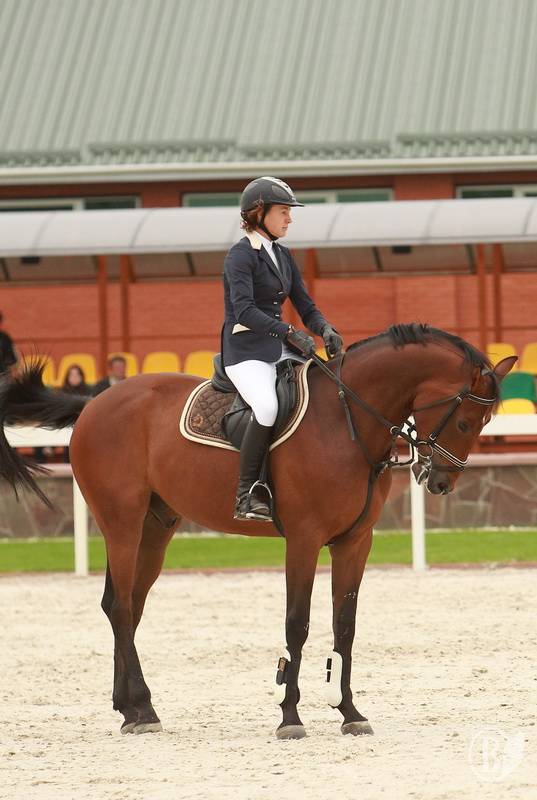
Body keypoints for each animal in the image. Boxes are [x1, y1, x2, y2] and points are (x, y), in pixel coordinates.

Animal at [0, 323, 515, 739]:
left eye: (485, 422)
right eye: (465, 420)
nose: (441, 482)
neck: (346, 420)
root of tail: (95, 402)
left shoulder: (354, 544)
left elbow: (345, 626)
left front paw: (350, 713)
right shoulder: (305, 541)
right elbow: (297, 624)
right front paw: (290, 717)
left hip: (155, 528)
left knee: (124, 605)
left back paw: (130, 707)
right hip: (121, 523)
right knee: (122, 607)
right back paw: (143, 710)